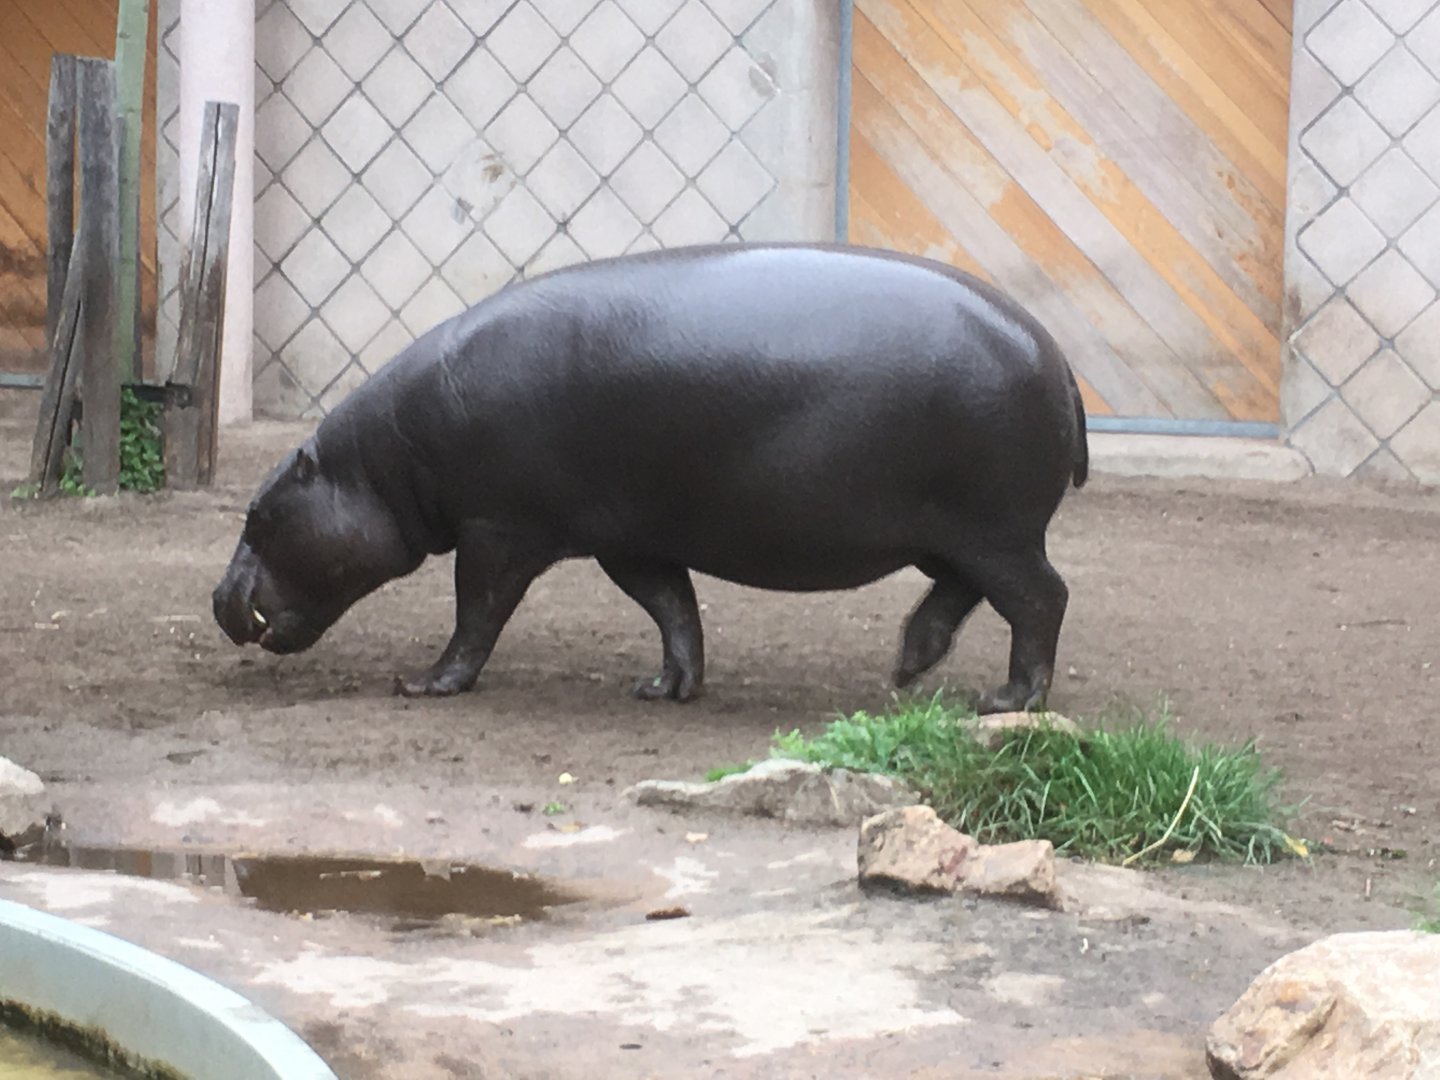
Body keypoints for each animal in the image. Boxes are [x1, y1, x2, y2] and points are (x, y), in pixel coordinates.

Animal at [213, 242, 1089, 713]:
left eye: (258, 515)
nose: (218, 599)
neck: (379, 465)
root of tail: (1056, 354)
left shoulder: (498, 529)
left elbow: (477, 613)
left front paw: (425, 685)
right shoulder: (629, 537)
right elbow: (673, 610)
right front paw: (664, 688)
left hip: (994, 528)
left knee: (1040, 598)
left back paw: (1007, 703)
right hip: (954, 531)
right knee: (963, 593)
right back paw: (907, 665)